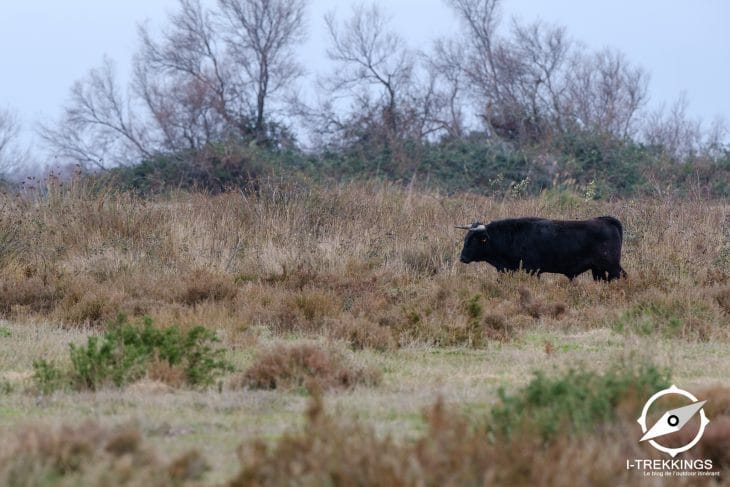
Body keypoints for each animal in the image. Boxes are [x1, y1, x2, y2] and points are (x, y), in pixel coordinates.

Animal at [456, 215, 624, 280]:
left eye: (474, 240)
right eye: (466, 238)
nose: (462, 258)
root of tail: (605, 220)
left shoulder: (532, 270)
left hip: (612, 266)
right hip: (598, 270)